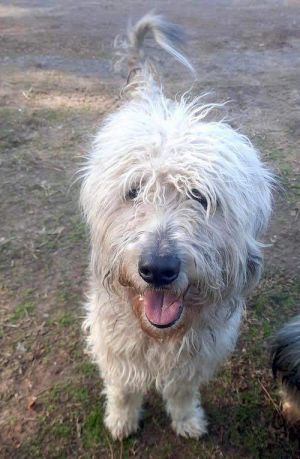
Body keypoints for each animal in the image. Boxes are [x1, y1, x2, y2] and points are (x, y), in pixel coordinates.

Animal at [80, 12, 274, 440]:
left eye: (201, 197)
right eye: (134, 191)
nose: (158, 269)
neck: (159, 335)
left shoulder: (197, 354)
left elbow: (182, 389)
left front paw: (187, 420)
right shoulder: (112, 341)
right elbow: (123, 387)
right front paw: (121, 420)